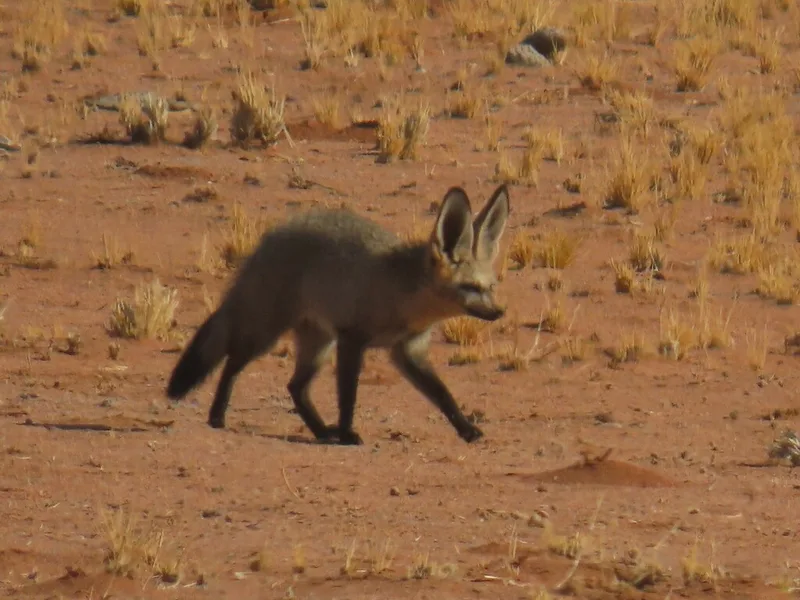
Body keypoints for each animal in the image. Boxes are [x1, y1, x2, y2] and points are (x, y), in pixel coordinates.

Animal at [166, 183, 511, 445]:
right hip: (267, 334)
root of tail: (268, 240)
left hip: (318, 345)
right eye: (470, 287)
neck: (403, 296)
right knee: (233, 362)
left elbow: (442, 394)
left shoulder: (407, 351)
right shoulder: (352, 339)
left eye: (491, 287)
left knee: (295, 387)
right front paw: (347, 433)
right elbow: (348, 396)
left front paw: (465, 429)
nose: (498, 312)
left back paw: (320, 431)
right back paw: (217, 416)